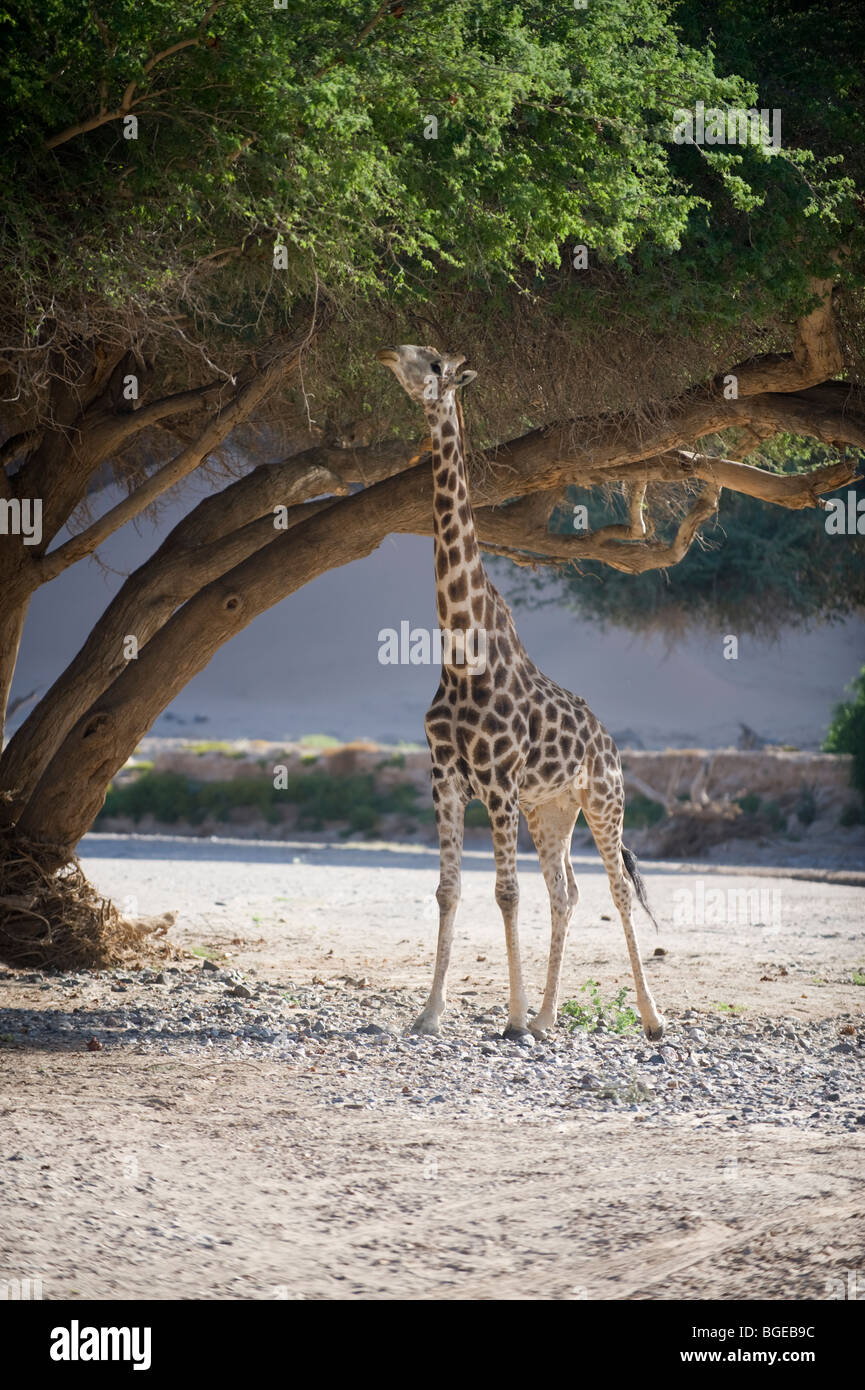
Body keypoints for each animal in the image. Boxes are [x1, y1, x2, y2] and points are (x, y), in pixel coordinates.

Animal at [375, 347, 667, 1045]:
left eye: (432, 362)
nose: (388, 353)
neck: (461, 654)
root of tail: (607, 738)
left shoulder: (499, 780)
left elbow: (506, 894)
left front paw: (507, 1018)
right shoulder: (446, 777)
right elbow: (448, 890)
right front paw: (430, 1015)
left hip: (602, 801)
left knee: (616, 891)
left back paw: (650, 1018)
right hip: (550, 811)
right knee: (566, 893)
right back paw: (547, 1016)